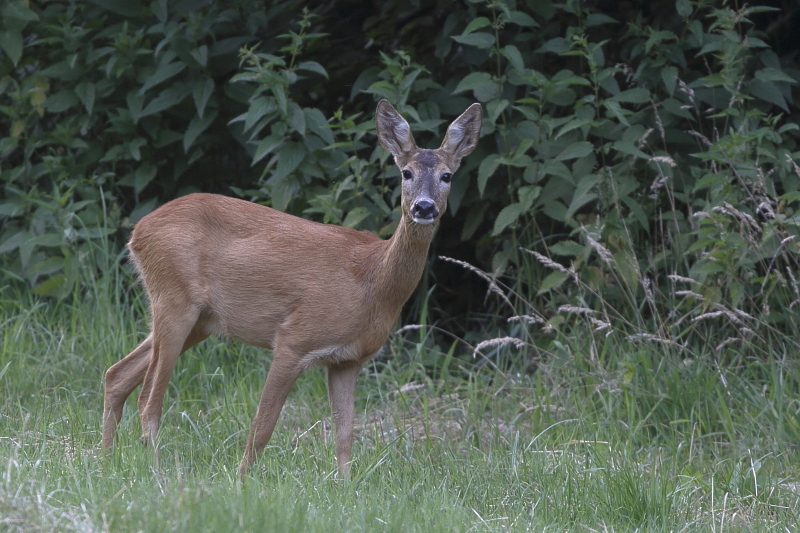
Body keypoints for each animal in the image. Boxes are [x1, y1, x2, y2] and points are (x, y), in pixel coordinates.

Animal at [103, 97, 484, 476]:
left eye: (447, 175)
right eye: (406, 173)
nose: (424, 206)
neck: (372, 283)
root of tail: (137, 233)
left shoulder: (348, 360)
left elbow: (344, 435)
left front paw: (345, 487)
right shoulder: (294, 338)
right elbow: (263, 425)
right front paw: (241, 480)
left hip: (200, 319)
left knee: (116, 374)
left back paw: (104, 458)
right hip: (173, 298)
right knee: (148, 397)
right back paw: (158, 472)